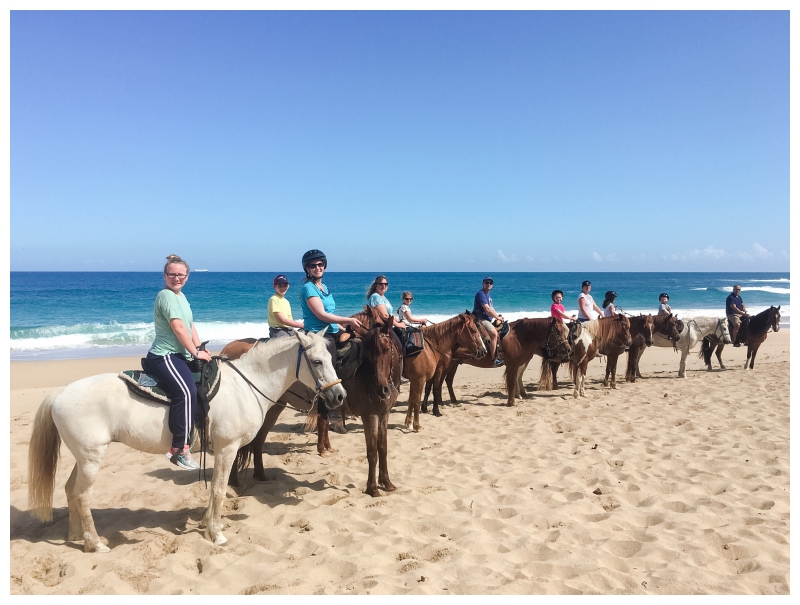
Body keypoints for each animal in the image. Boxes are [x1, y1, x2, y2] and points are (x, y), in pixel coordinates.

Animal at [26, 330, 346, 552]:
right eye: (317, 361)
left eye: (333, 359)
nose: (339, 395)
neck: (245, 385)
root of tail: (60, 393)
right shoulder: (227, 448)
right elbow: (219, 489)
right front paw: (216, 533)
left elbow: (214, 490)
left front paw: (206, 525)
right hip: (91, 458)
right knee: (82, 495)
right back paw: (95, 543)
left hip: (83, 457)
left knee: (70, 490)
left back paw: (76, 536)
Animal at [422, 316, 572, 406]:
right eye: (558, 331)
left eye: (566, 331)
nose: (568, 349)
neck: (520, 336)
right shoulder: (512, 365)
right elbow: (512, 382)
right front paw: (511, 402)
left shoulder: (518, 364)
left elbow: (515, 379)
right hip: (446, 364)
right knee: (440, 381)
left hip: (453, 364)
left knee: (447, 380)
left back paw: (451, 401)